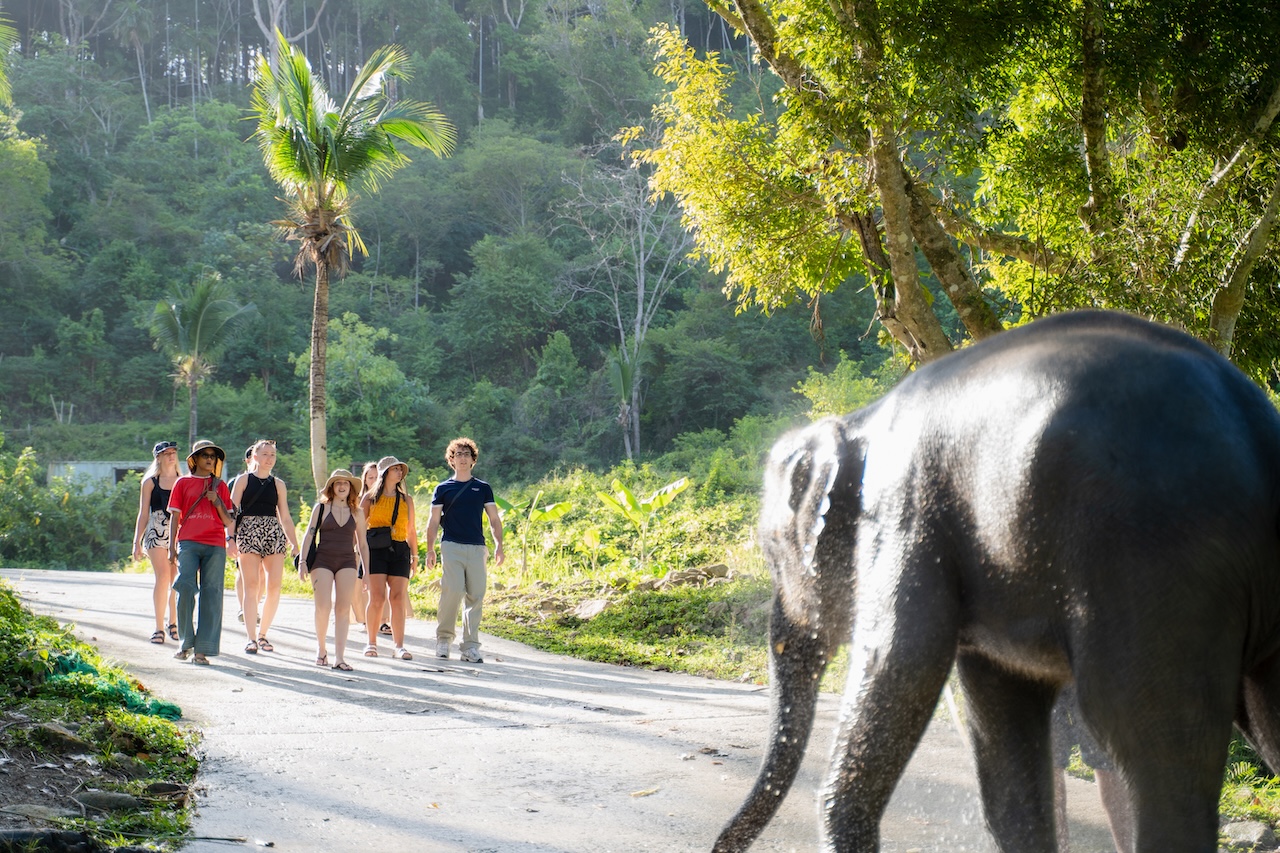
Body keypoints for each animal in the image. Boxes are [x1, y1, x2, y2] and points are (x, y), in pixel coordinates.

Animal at [714, 310, 1280, 853]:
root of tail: (1255, 434)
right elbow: (1000, 721)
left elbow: (901, 659)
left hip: (1151, 563)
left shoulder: (906, 512)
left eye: (772, 554)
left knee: (1151, 739)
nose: (719, 843)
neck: (861, 422)